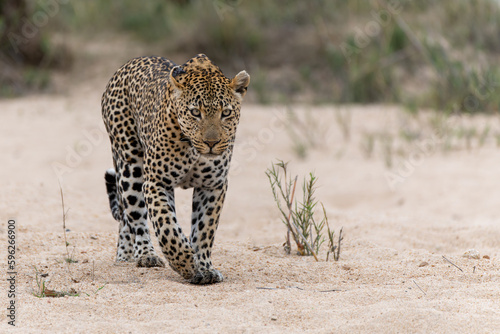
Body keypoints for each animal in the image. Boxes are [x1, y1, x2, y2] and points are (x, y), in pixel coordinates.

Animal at [101, 54, 250, 284]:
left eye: (226, 113)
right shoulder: (156, 181)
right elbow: (166, 226)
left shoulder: (213, 186)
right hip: (130, 166)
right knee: (134, 215)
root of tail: (125, 66)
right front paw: (185, 263)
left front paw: (204, 267)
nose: (211, 143)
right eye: (195, 113)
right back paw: (144, 255)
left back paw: (126, 256)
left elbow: (204, 229)